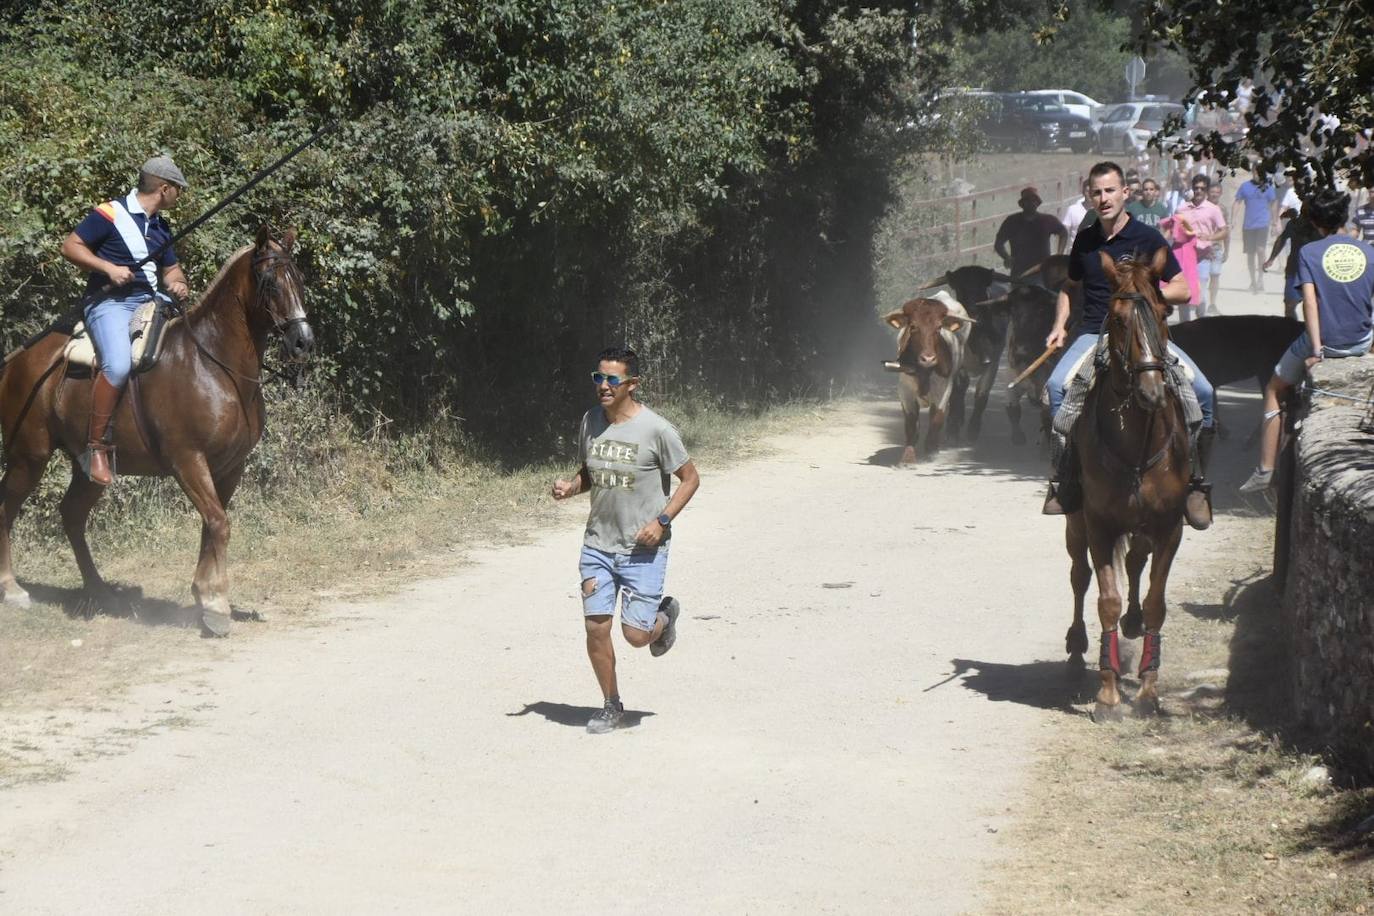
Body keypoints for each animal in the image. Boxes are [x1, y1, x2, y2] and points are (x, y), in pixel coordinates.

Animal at [0, 225, 314, 634]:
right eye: (269, 281)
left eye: (299, 280)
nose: (303, 341)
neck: (213, 364)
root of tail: (16, 361)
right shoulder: (188, 461)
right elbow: (218, 522)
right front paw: (215, 605)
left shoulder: (230, 467)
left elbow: (212, 525)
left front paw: (206, 596)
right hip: (29, 456)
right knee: (7, 509)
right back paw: (12, 589)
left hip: (88, 468)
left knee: (72, 515)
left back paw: (100, 591)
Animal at [884, 293, 972, 461]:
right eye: (913, 327)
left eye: (938, 328)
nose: (928, 358)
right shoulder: (905, 392)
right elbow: (911, 425)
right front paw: (907, 458)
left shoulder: (943, 391)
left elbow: (936, 419)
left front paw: (930, 451)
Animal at [1060, 247, 1192, 719]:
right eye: (1117, 320)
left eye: (1161, 311)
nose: (1151, 391)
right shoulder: (1099, 523)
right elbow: (1106, 600)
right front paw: (1107, 693)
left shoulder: (1170, 526)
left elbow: (1155, 601)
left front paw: (1149, 692)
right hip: (1074, 521)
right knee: (1079, 575)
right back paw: (1076, 647)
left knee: (1135, 562)